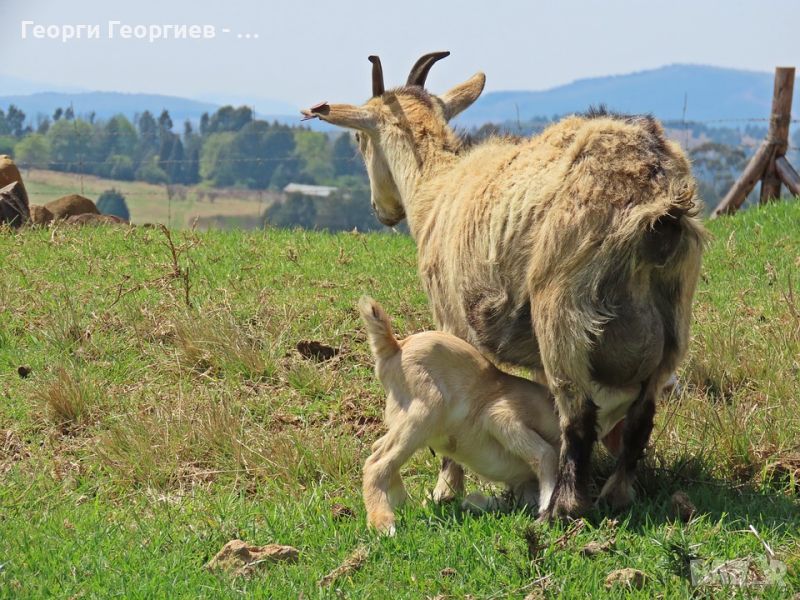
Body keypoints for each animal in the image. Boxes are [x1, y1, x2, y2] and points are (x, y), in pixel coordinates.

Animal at [306, 52, 708, 520]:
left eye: (358, 140)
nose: (382, 211)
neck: (435, 188)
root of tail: (657, 199)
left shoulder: (451, 315)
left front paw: (446, 488)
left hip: (562, 302)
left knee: (577, 413)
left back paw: (564, 506)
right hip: (674, 312)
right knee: (642, 416)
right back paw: (616, 493)